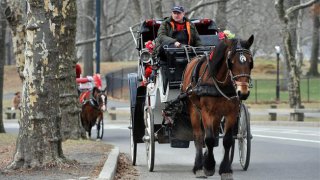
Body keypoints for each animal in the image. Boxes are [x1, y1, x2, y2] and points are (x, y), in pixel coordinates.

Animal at [181, 35, 254, 179]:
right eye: (231, 62)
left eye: (250, 62)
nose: (243, 92)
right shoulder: (206, 112)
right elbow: (208, 139)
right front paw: (208, 166)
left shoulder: (231, 113)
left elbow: (227, 140)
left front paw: (225, 169)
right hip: (194, 110)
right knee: (199, 136)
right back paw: (199, 166)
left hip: (217, 114)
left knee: (214, 134)